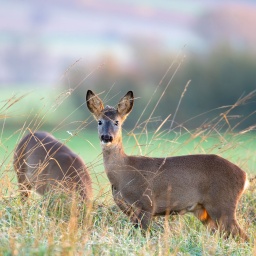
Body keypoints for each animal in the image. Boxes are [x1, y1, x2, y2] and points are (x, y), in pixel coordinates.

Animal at [85, 89, 248, 240]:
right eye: (99, 122)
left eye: (116, 122)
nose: (107, 137)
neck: (123, 173)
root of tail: (244, 175)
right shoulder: (128, 210)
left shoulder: (147, 204)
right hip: (204, 211)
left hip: (222, 204)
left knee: (242, 236)